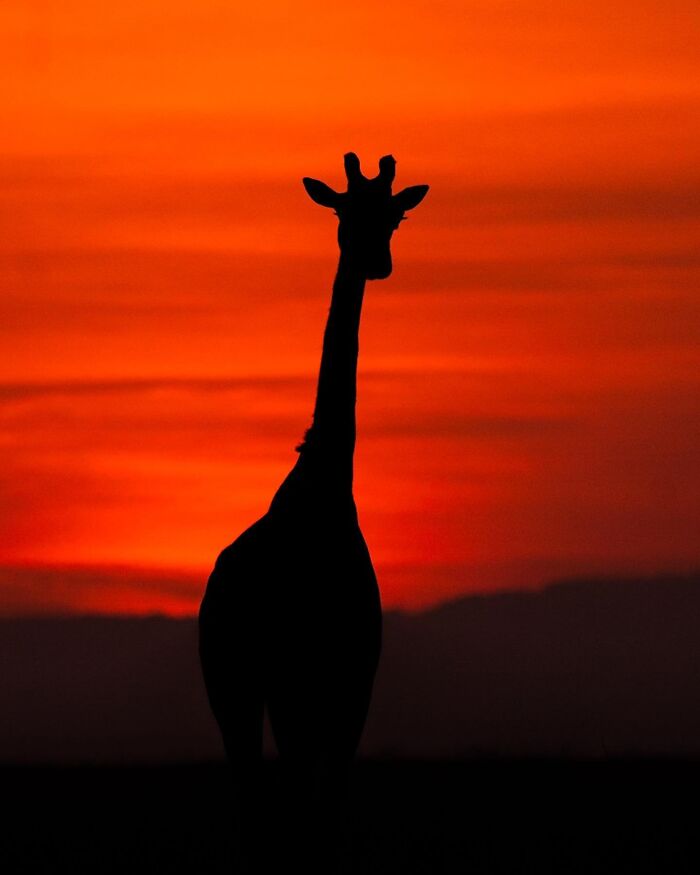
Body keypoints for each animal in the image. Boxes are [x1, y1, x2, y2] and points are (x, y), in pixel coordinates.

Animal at [198, 152, 429, 873]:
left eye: (394, 215)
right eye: (342, 211)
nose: (375, 260)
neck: (324, 487)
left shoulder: (349, 685)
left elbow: (323, 815)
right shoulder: (311, 686)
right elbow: (309, 812)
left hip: (260, 690)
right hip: (246, 687)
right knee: (265, 803)